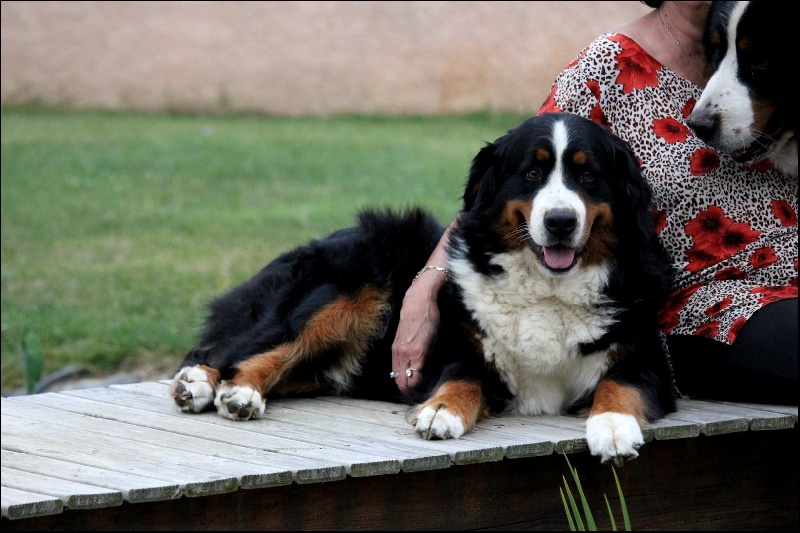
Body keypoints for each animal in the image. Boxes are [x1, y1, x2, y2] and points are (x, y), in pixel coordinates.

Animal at [169, 112, 676, 466]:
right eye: (532, 174)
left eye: (588, 175)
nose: (560, 222)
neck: (549, 290)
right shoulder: (458, 349)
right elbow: (462, 376)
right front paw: (442, 411)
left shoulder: (648, 360)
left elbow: (619, 382)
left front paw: (612, 427)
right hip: (345, 293)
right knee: (240, 349)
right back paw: (218, 389)